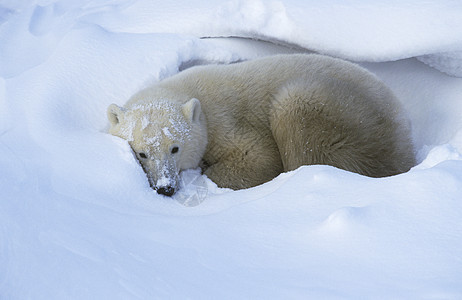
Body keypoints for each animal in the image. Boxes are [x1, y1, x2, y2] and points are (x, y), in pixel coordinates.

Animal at [107, 53, 416, 197]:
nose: (165, 188)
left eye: (175, 148)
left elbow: (259, 157)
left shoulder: (227, 122)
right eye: (141, 153)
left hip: (351, 116)